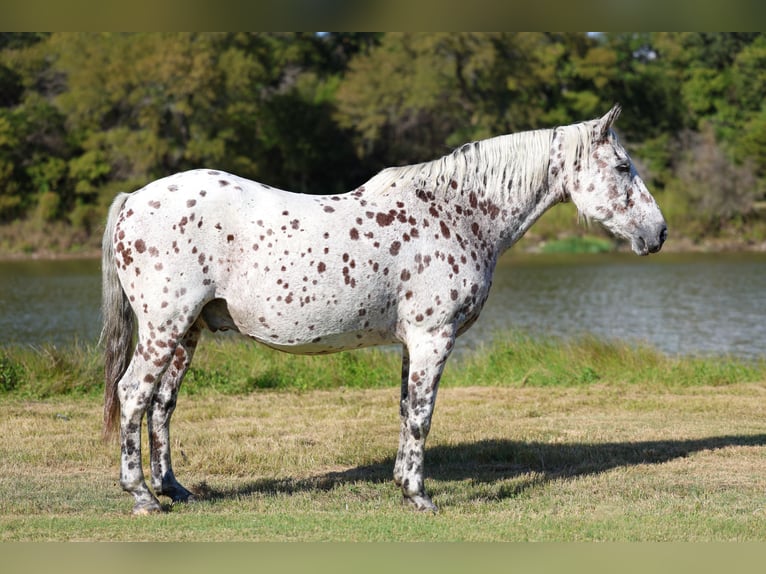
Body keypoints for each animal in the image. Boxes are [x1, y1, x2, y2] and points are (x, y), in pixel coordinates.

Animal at [101, 104, 667, 514]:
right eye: (622, 167)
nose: (658, 233)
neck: (457, 213)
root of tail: (134, 199)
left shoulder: (411, 342)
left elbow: (405, 411)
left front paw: (403, 485)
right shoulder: (433, 337)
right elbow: (422, 415)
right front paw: (419, 496)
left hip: (187, 332)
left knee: (162, 404)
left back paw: (173, 489)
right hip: (164, 327)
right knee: (133, 395)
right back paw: (143, 498)